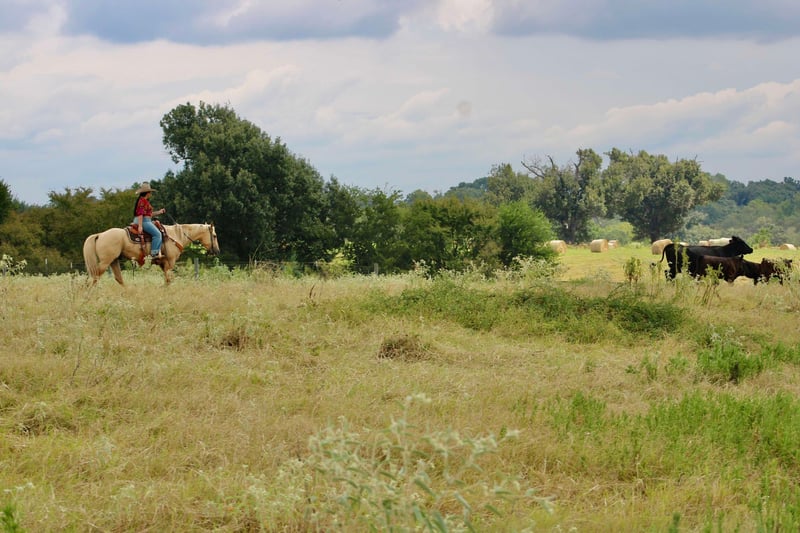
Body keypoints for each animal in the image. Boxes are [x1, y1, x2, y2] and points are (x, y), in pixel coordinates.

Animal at [83, 223, 220, 285]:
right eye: (214, 235)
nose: (217, 251)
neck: (176, 236)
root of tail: (100, 235)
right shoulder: (170, 262)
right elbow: (169, 280)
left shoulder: (163, 264)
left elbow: (167, 280)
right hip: (105, 262)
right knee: (94, 278)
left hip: (114, 261)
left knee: (119, 279)